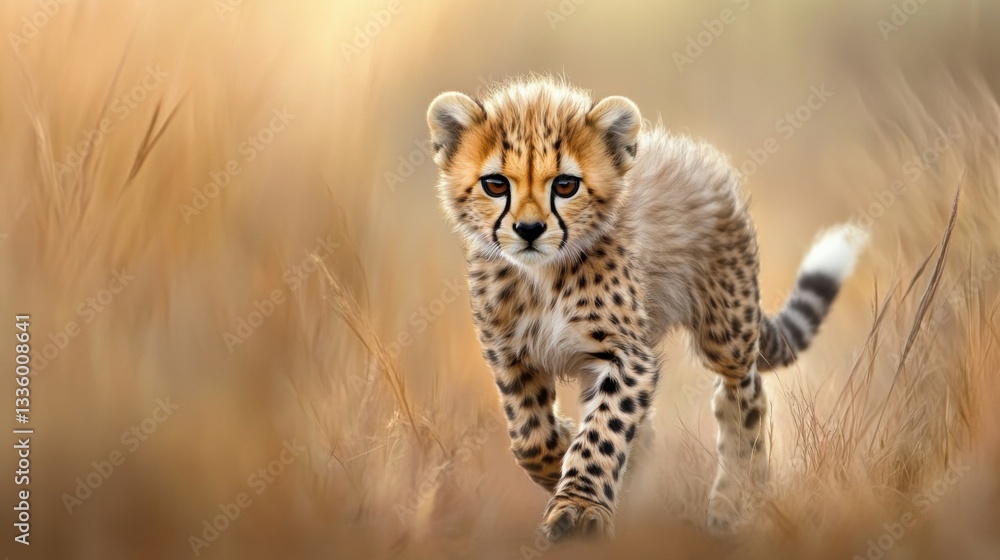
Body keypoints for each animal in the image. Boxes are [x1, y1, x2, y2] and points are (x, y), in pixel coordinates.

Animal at [425, 77, 867, 540]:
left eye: (565, 185)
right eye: (496, 184)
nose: (529, 230)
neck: (542, 275)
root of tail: (702, 158)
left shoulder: (627, 355)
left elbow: (603, 431)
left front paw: (579, 503)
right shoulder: (511, 357)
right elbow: (530, 437)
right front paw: (566, 457)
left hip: (725, 331)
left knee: (743, 396)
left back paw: (736, 500)